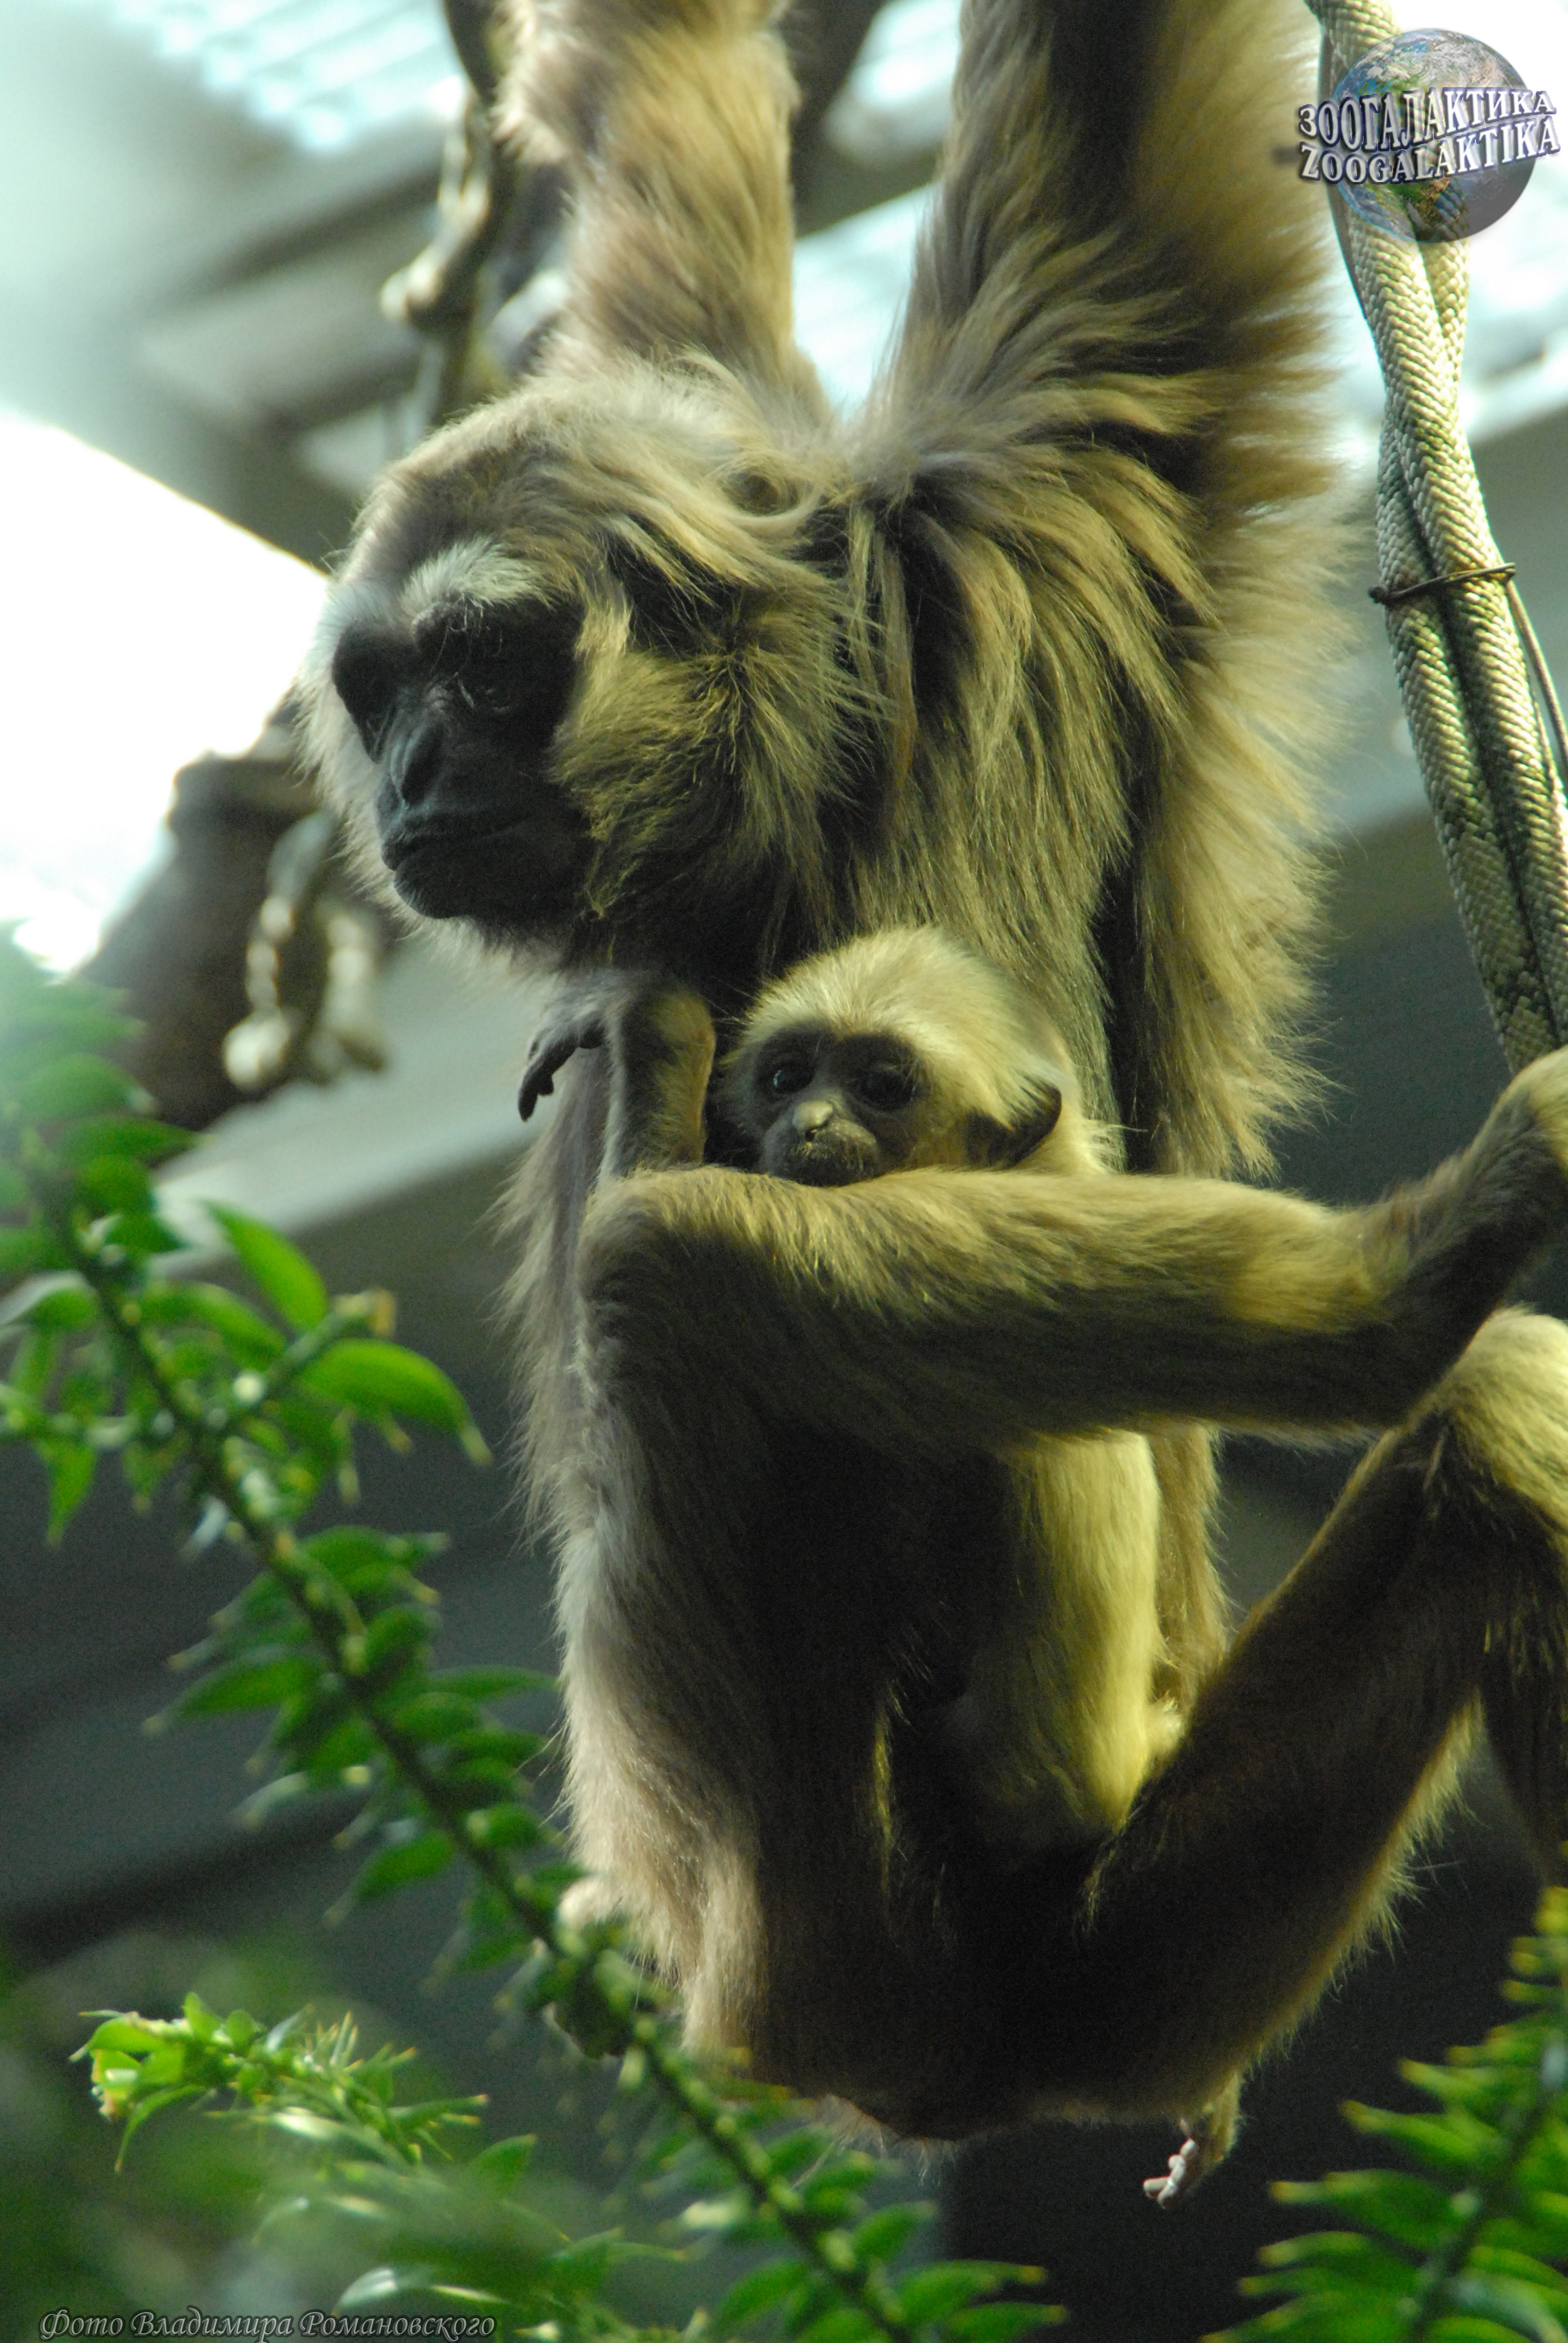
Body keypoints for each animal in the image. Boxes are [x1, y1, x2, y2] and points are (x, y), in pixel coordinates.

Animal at [295, 0, 1568, 2198]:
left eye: (486, 666)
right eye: (382, 692)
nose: (411, 777)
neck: (811, 754)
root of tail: (990, 2061)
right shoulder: (1033, 433)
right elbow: (681, 127)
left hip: (821, 1912)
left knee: (666, 1258)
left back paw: (1401, 1286)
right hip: (1167, 1937)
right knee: (1501, 1441)